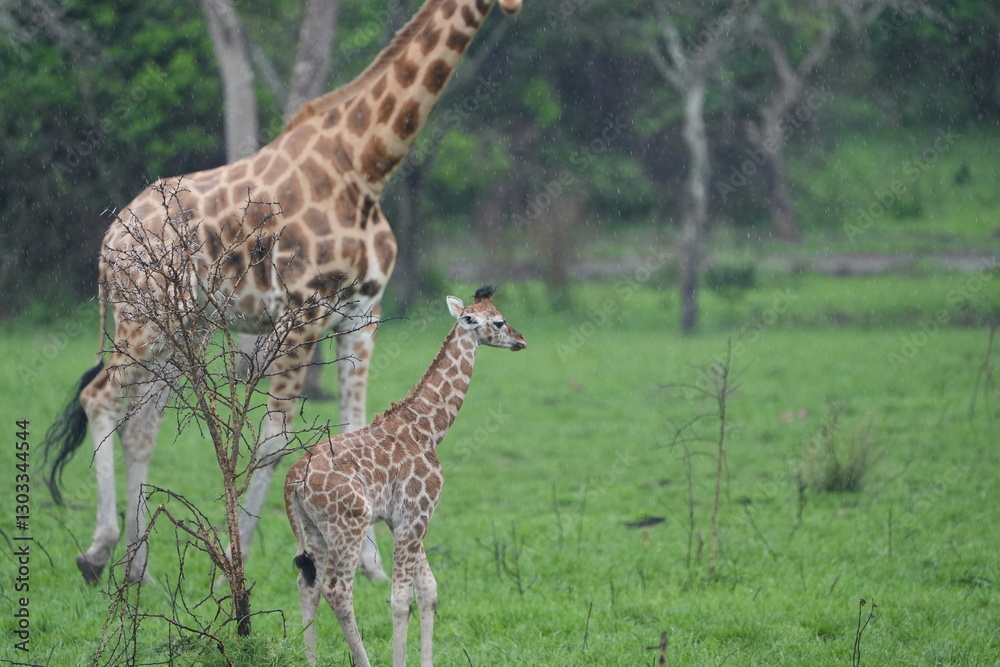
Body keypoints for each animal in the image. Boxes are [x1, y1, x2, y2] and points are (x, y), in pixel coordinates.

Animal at [42, 0, 525, 585]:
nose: (516, 8)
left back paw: (139, 570)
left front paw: (372, 568)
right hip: (142, 316)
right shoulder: (303, 309)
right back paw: (97, 553)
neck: (366, 166)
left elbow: (354, 426)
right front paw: (238, 561)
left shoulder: (361, 312)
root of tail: (109, 242)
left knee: (142, 422)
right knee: (101, 397)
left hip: (185, 328)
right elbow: (274, 438)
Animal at [285, 286, 526, 667]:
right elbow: (401, 598)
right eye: (499, 321)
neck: (428, 428)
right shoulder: (416, 512)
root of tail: (292, 479)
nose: (521, 339)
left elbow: (428, 589)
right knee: (337, 590)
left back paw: (310, 660)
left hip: (314, 529)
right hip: (349, 524)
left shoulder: (403, 519)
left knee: (307, 585)